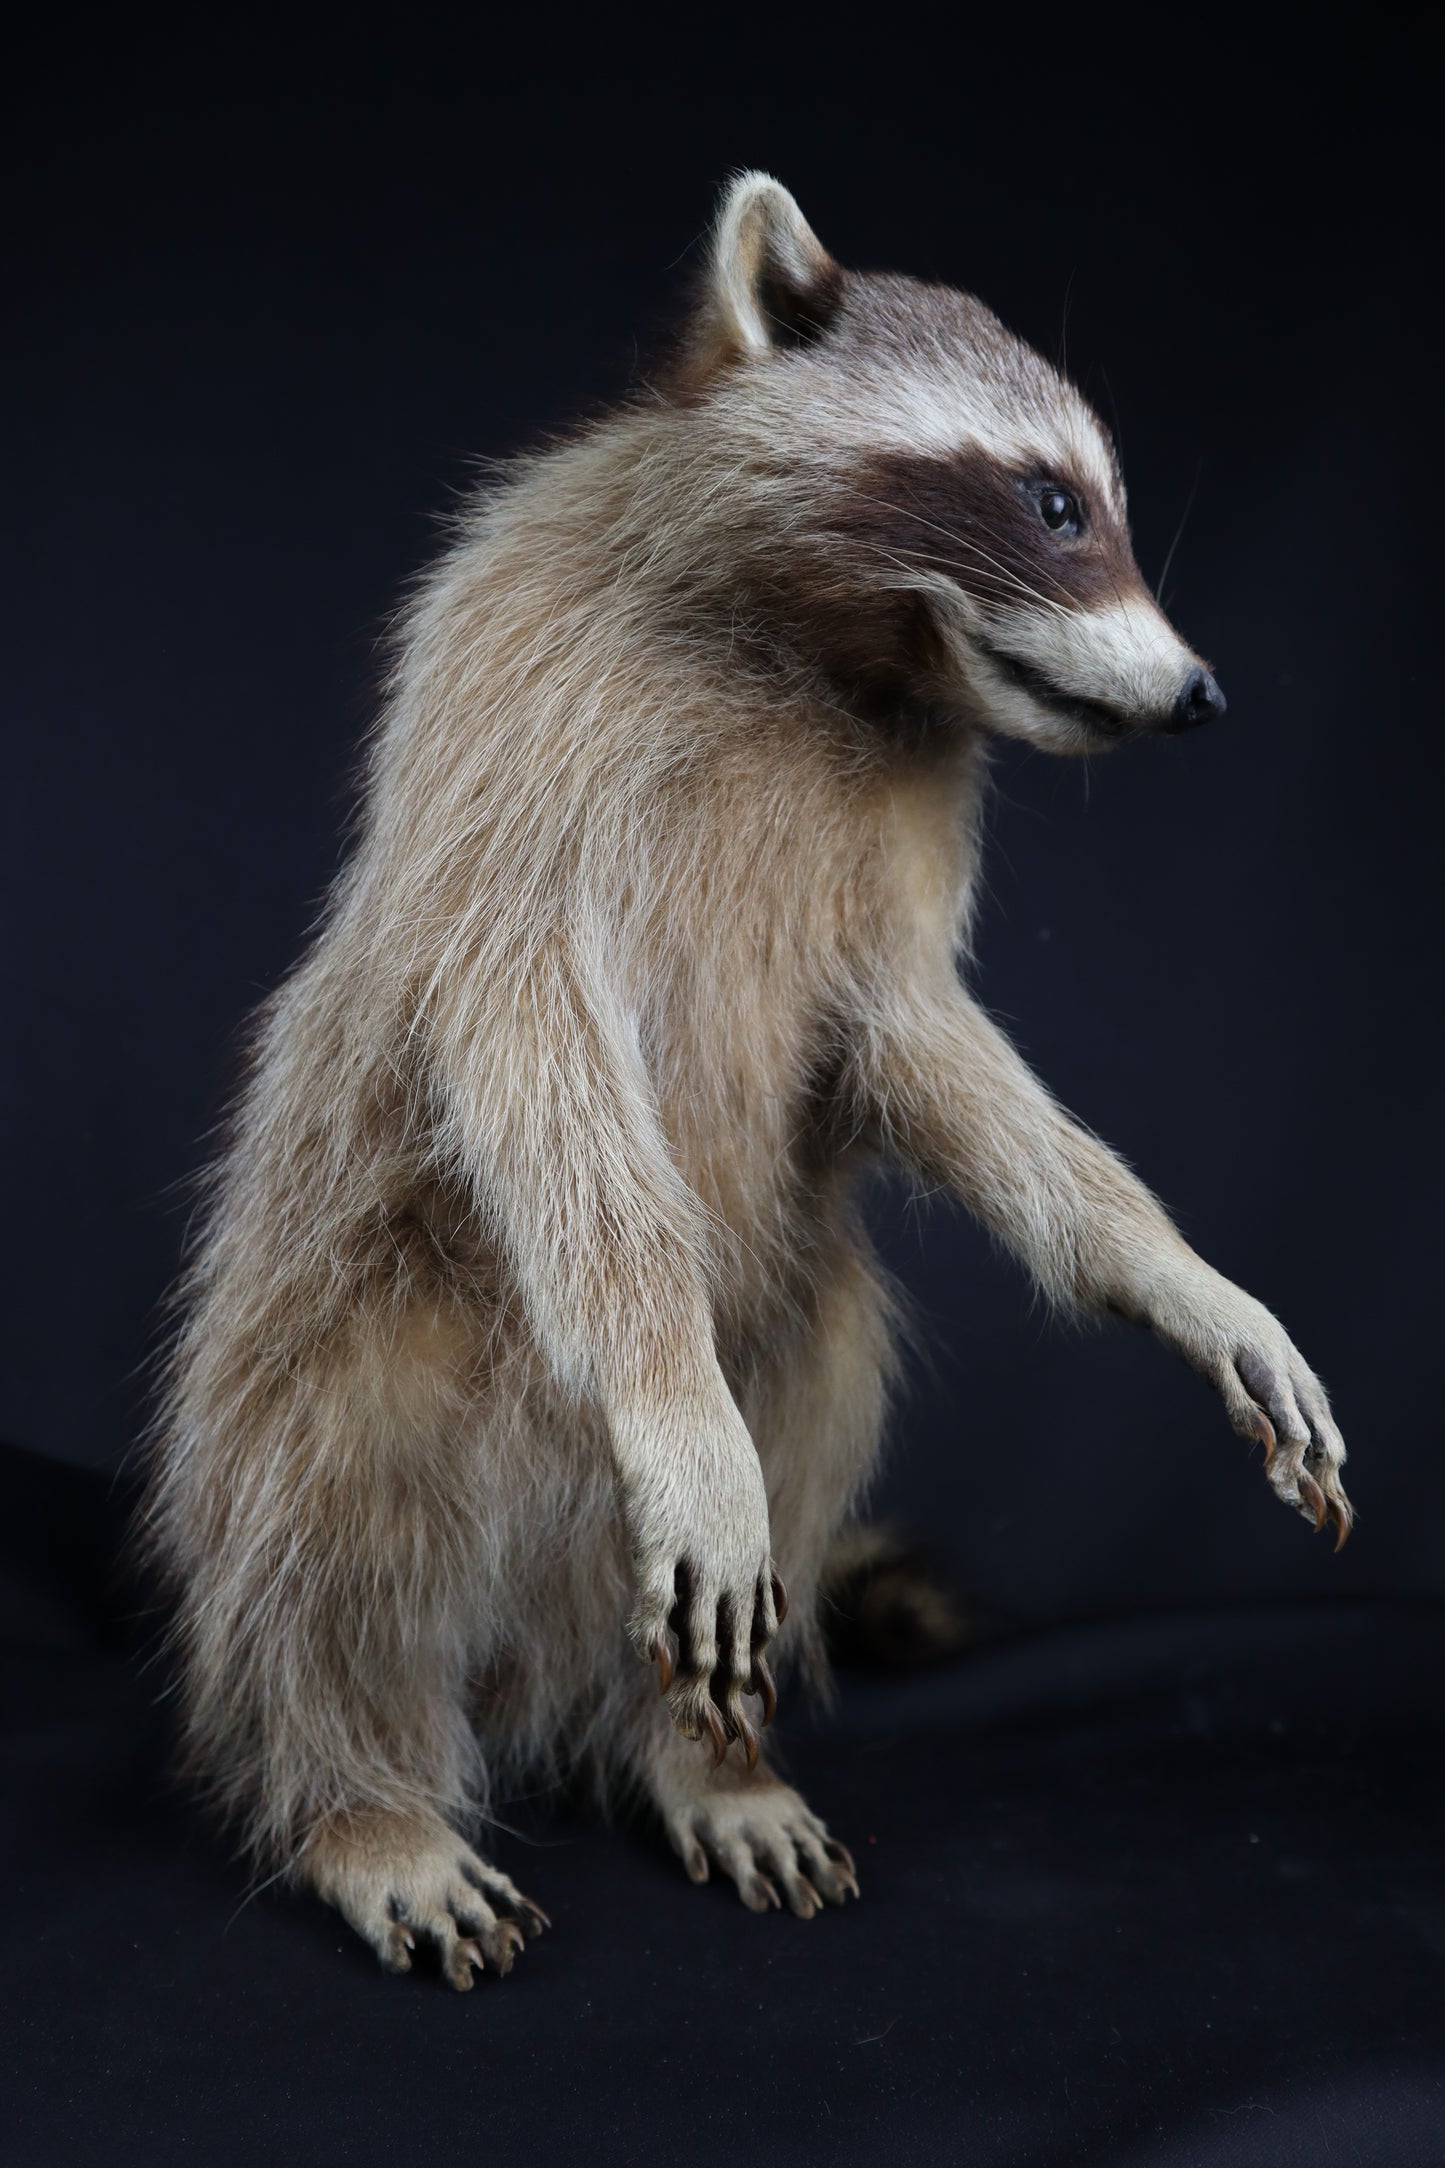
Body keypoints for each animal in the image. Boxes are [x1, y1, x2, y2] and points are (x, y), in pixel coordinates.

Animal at [146, 173, 1351, 1986]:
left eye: (1099, 505)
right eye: (1053, 501)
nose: (1205, 694)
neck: (829, 650)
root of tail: (528, 1656)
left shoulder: (906, 837)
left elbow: (927, 1053)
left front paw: (1174, 1271)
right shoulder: (516, 676)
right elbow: (522, 1024)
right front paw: (665, 1382)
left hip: (775, 1336)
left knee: (815, 1381)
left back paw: (699, 1756)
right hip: (346, 1324)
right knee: (333, 1518)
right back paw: (360, 1794)